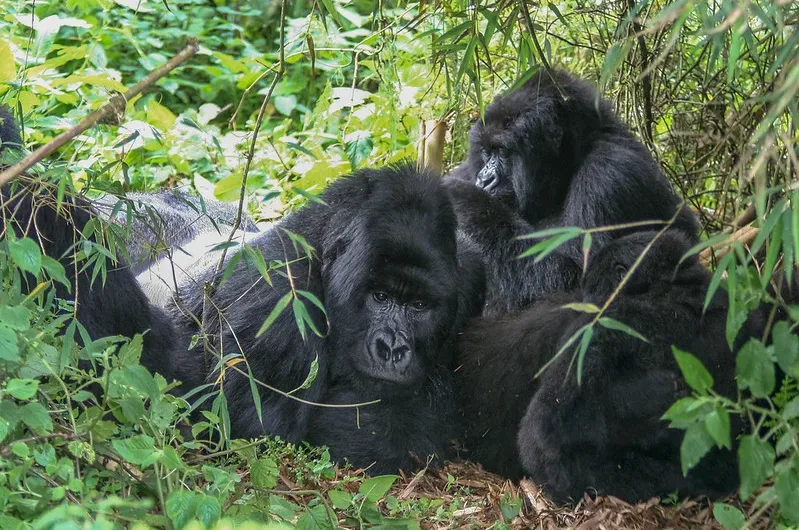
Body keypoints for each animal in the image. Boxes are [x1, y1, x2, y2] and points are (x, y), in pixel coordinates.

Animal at [139, 164, 482, 470]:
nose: (392, 349)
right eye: (380, 297)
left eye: (418, 305)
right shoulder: (276, 300)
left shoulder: (470, 274)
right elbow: (263, 435)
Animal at [446, 67, 704, 312]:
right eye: (486, 152)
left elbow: (578, 283)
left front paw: (465, 199)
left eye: (503, 151)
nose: (484, 179)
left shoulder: (610, 174)